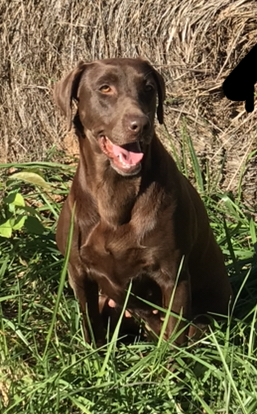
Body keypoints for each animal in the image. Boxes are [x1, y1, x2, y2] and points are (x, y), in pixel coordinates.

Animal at [54, 56, 232, 344]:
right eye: (105, 88)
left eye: (148, 88)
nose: (141, 124)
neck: (114, 192)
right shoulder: (78, 273)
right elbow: (91, 326)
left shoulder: (173, 275)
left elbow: (174, 339)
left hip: (203, 323)